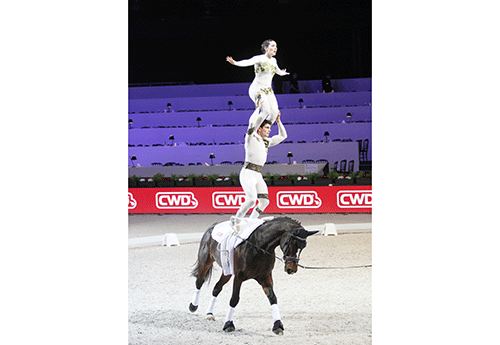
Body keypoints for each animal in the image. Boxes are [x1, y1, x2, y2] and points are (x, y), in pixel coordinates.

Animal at [188, 218, 316, 334]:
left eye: (303, 246)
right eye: (290, 242)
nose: (292, 269)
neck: (259, 246)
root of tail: (212, 227)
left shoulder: (265, 277)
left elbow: (272, 298)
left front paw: (278, 325)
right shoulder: (238, 277)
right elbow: (234, 299)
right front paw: (228, 324)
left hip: (226, 271)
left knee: (217, 288)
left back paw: (209, 314)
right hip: (205, 262)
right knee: (199, 282)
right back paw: (193, 306)